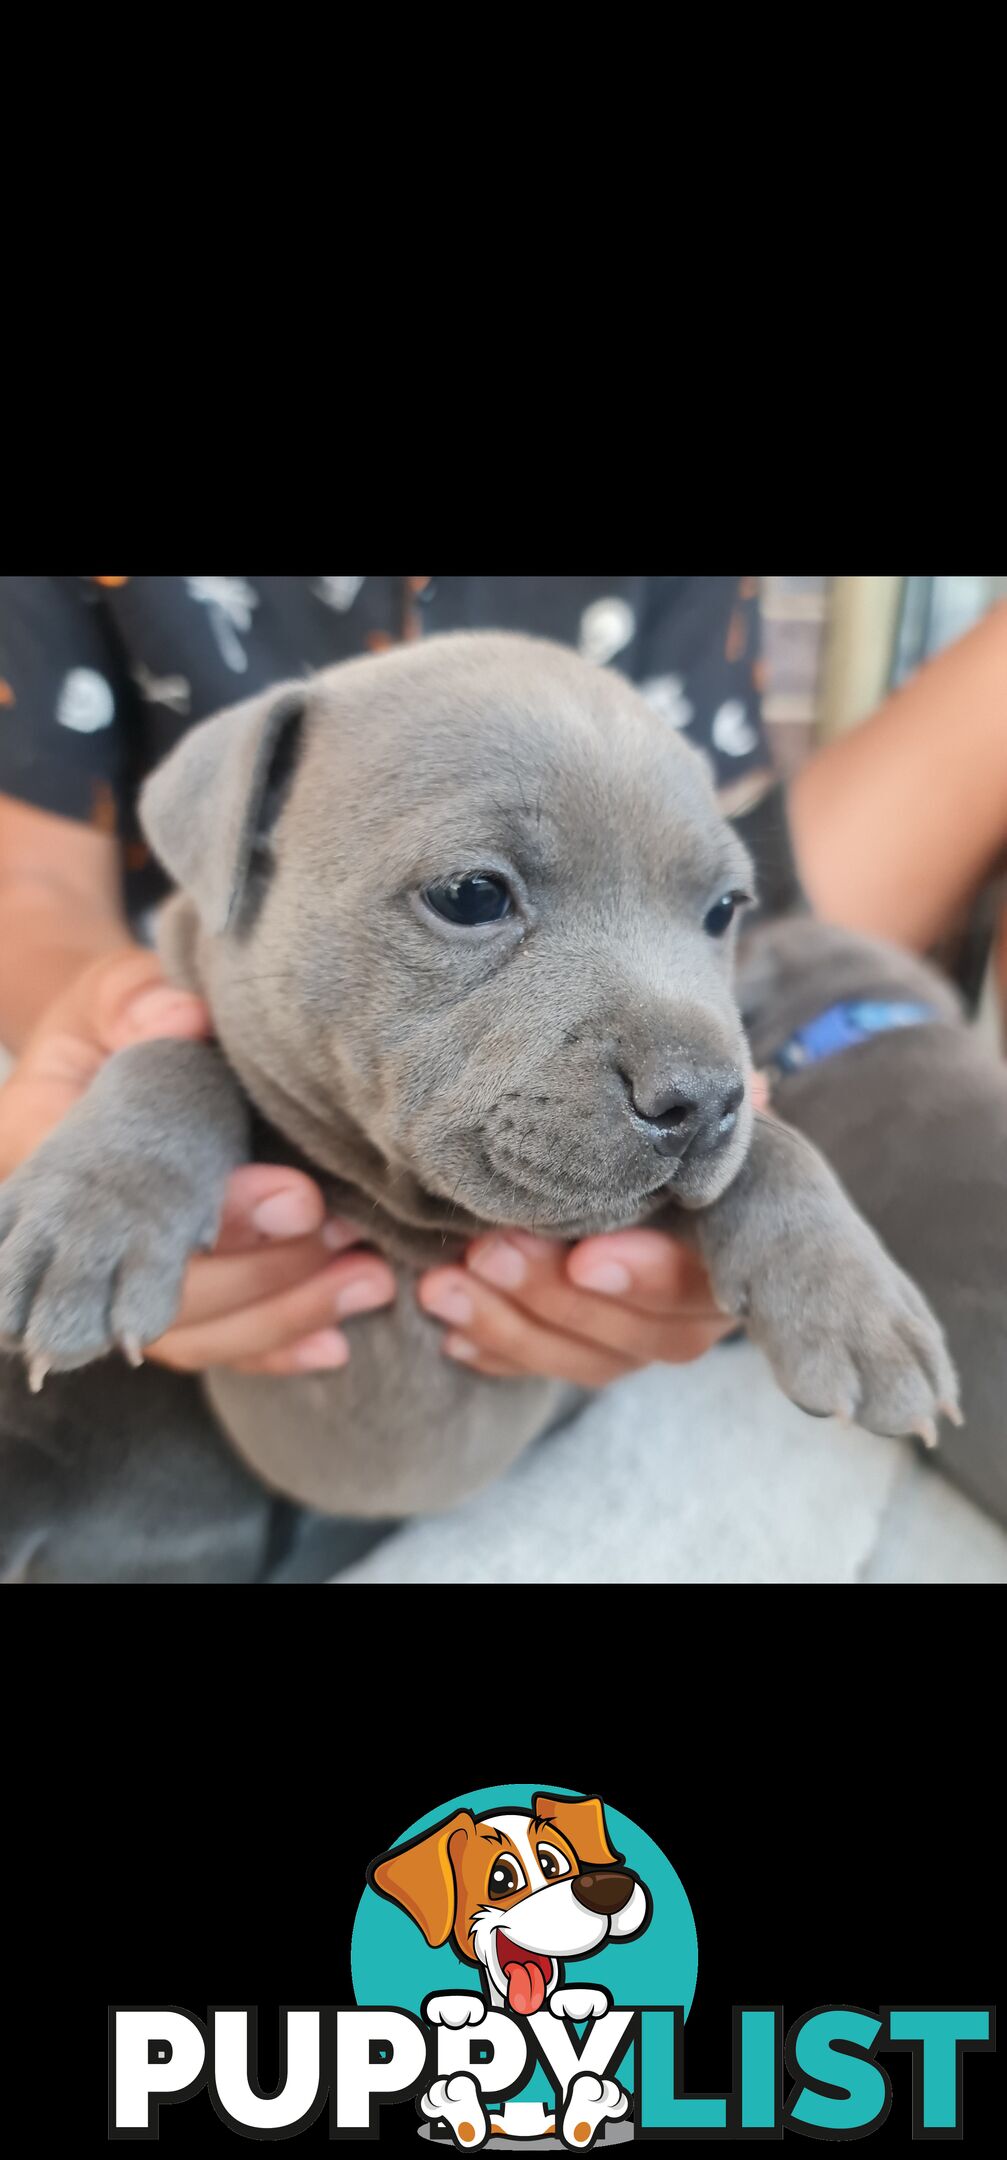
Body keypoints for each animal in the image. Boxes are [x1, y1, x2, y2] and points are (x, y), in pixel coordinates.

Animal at [0, 630, 959, 1546]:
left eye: (724, 911)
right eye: (470, 895)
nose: (701, 1100)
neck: (417, 1218)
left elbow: (780, 1147)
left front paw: (857, 1303)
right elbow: (170, 1054)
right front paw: (93, 1218)